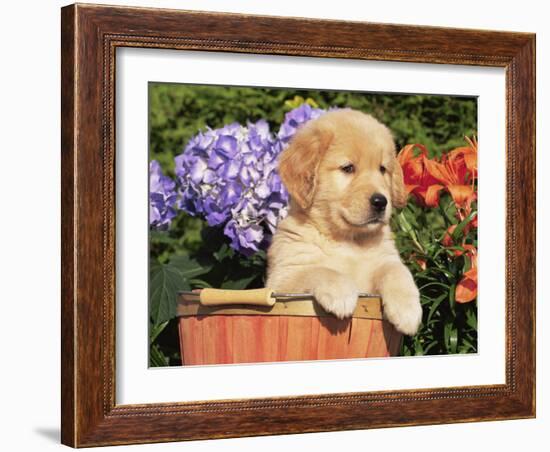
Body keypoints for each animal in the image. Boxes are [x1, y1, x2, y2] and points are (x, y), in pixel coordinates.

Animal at [268, 108, 422, 336]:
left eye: (382, 169)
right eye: (348, 168)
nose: (380, 202)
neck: (349, 240)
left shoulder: (385, 258)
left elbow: (397, 271)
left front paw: (408, 310)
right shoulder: (282, 280)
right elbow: (318, 270)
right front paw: (341, 293)